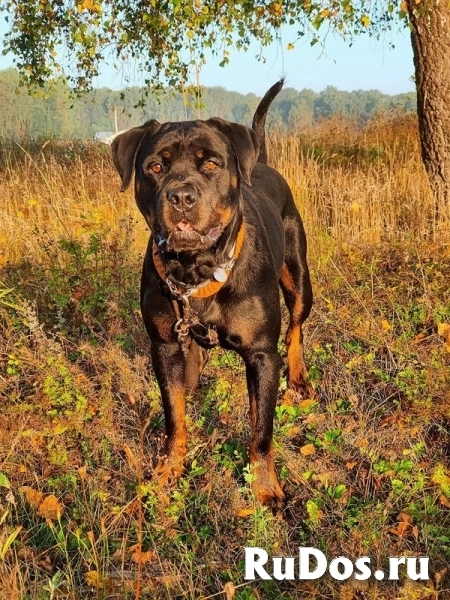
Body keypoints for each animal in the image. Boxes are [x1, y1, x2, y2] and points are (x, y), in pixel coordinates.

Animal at [110, 81, 312, 506]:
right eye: (155, 167)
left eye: (212, 164)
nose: (182, 196)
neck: (197, 268)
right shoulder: (164, 346)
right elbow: (175, 417)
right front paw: (168, 470)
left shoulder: (262, 355)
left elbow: (261, 429)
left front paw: (264, 485)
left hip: (300, 278)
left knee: (296, 329)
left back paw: (299, 379)